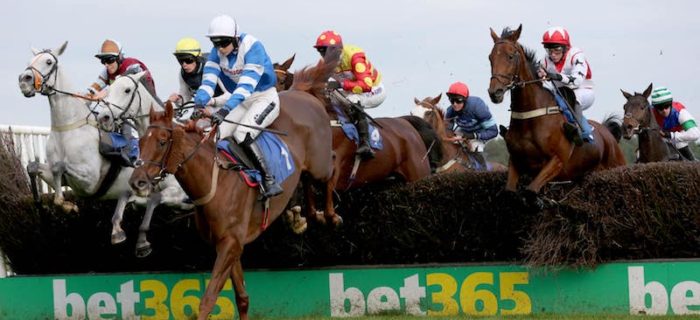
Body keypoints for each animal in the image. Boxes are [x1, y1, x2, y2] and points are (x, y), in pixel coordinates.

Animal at [17, 42, 191, 258]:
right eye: (30, 61)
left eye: (48, 62)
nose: (24, 80)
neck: (67, 130)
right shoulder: (65, 181)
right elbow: (35, 167)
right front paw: (49, 202)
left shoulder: (90, 180)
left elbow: (60, 167)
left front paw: (67, 205)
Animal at [131, 55, 342, 320]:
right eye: (140, 141)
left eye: (161, 142)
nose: (136, 181)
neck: (215, 182)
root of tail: (301, 93)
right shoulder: (230, 244)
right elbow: (242, 297)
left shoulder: (230, 243)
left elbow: (208, 299)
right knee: (305, 179)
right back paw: (309, 215)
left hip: (319, 162)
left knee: (332, 166)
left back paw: (330, 215)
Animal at [486, 25, 624, 198]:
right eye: (490, 58)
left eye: (510, 56)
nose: (495, 93)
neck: (529, 118)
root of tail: (609, 134)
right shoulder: (516, 161)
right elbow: (509, 191)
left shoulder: (556, 161)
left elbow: (531, 190)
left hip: (615, 166)